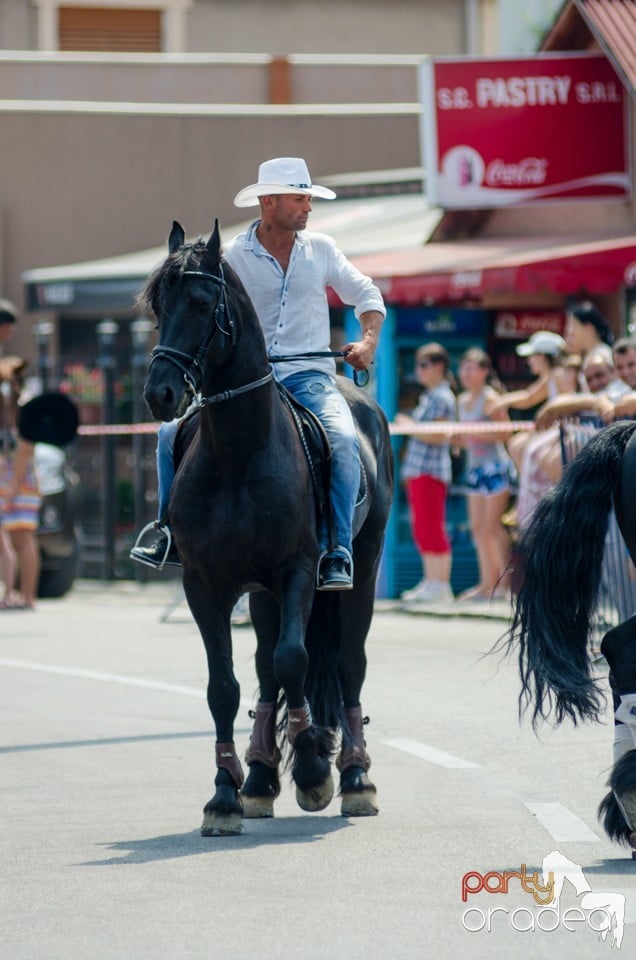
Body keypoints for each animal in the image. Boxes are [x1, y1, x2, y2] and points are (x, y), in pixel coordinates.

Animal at [142, 223, 396, 832]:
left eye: (201, 303)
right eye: (159, 306)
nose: (160, 393)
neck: (240, 448)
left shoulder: (298, 570)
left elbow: (295, 661)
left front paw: (313, 770)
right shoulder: (205, 584)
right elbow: (226, 686)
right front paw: (225, 793)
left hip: (363, 568)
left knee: (346, 664)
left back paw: (356, 776)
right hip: (259, 594)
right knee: (263, 669)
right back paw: (258, 777)